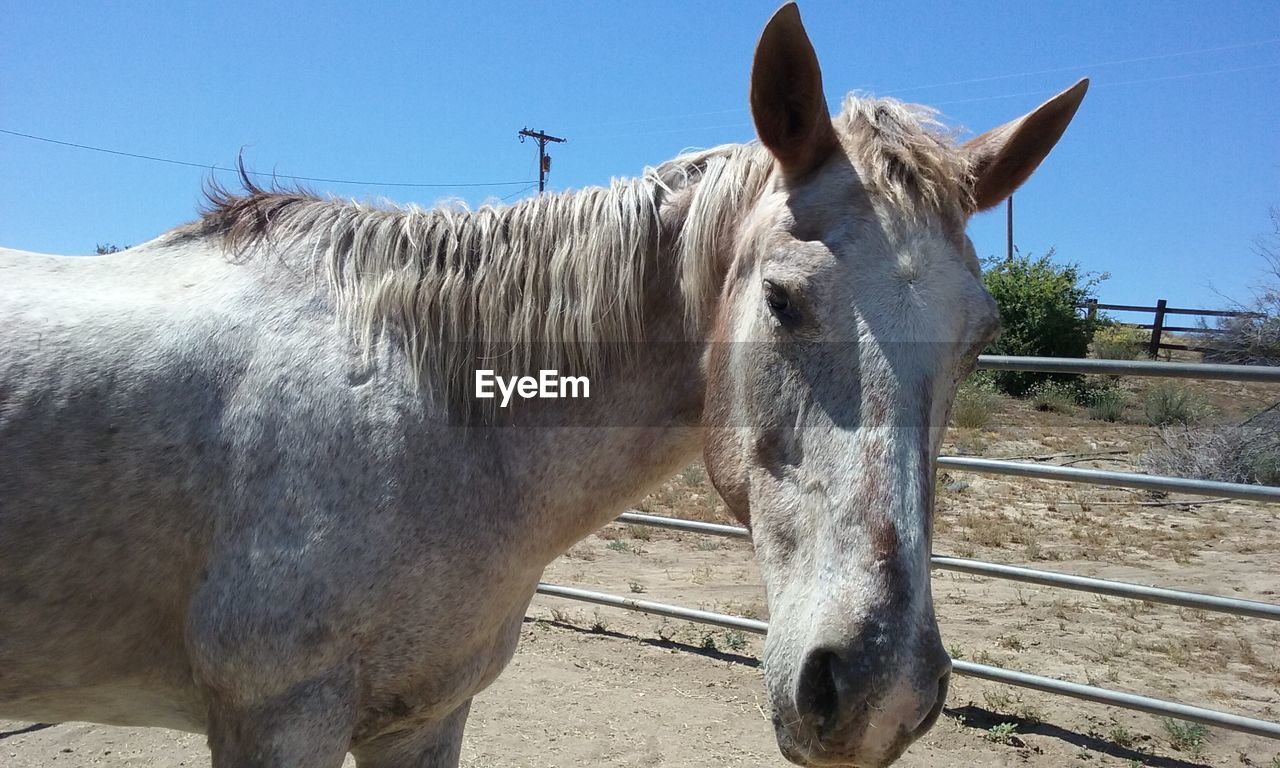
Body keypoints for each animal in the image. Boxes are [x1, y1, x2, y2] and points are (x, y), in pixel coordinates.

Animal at [0, 6, 1090, 768]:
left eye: (980, 340)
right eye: (782, 299)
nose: (878, 693)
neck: (422, 408)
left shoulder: (424, 717)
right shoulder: (278, 721)